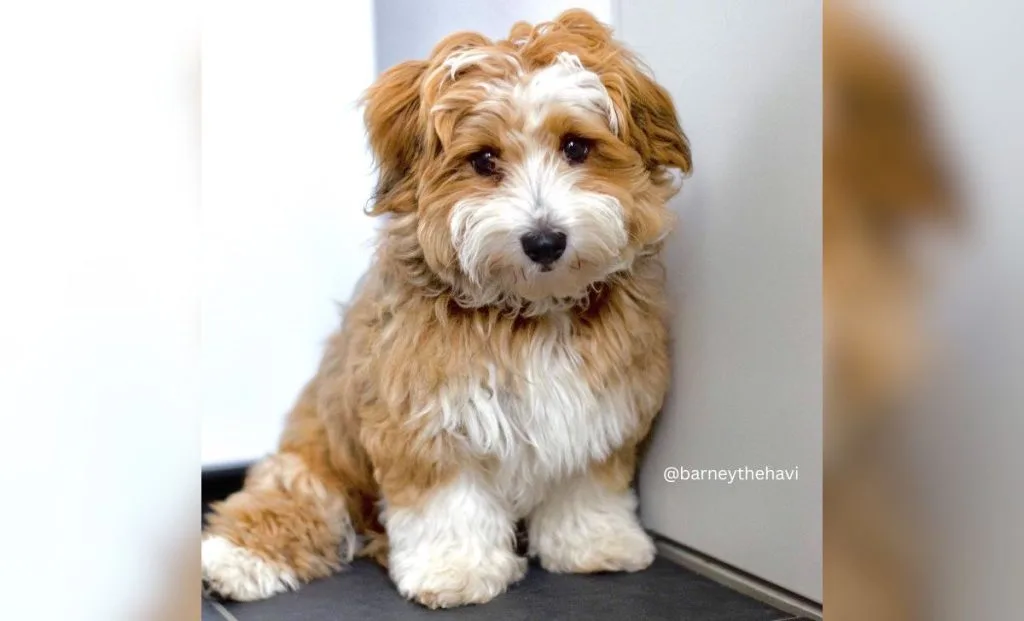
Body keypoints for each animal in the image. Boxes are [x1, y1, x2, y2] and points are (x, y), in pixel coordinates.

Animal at [201, 9, 688, 610]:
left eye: (576, 147)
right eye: (483, 160)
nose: (544, 241)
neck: (528, 312)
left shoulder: (599, 407)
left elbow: (586, 480)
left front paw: (596, 543)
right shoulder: (424, 417)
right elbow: (448, 503)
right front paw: (455, 570)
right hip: (315, 463)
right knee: (288, 505)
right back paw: (231, 560)